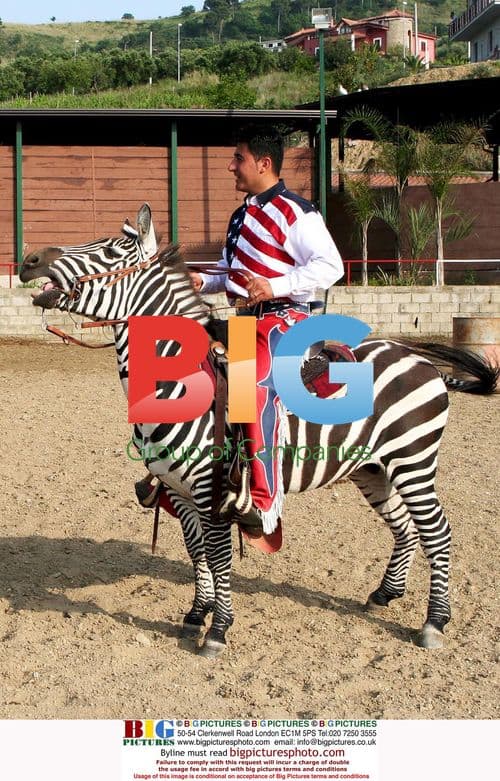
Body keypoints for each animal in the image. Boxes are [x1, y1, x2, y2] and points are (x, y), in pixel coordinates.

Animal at [20, 204, 498, 659]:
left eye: (112, 251)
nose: (28, 260)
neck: (181, 383)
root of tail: (422, 361)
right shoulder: (178, 489)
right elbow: (196, 550)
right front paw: (196, 613)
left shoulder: (212, 488)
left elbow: (218, 555)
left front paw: (218, 630)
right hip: (372, 468)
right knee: (403, 527)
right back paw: (385, 594)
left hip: (412, 461)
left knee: (437, 531)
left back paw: (434, 622)